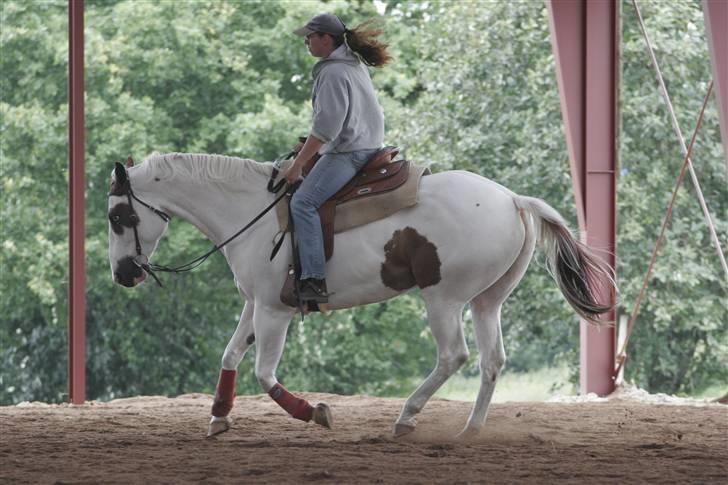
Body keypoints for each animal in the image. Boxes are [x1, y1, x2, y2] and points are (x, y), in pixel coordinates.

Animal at [105, 152, 612, 438]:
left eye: (117, 216)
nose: (123, 274)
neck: (251, 213)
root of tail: (512, 200)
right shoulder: (254, 304)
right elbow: (230, 356)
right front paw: (218, 417)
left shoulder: (274, 310)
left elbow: (264, 374)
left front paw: (315, 412)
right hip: (487, 302)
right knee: (492, 360)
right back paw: (472, 429)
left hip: (443, 299)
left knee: (454, 356)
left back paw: (407, 417)